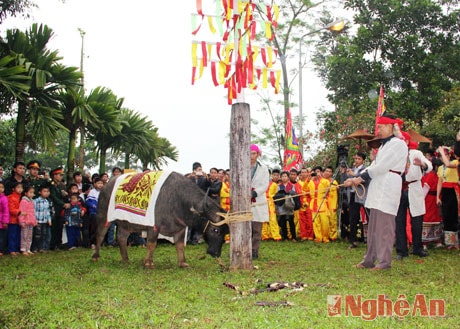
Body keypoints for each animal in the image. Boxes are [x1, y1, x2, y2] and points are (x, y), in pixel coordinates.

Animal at [92, 170, 229, 268]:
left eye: (226, 232)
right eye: (216, 230)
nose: (215, 253)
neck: (178, 200)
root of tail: (106, 186)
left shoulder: (180, 228)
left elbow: (180, 245)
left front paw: (183, 262)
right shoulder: (153, 226)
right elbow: (152, 243)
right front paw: (148, 262)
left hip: (126, 223)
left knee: (122, 237)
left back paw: (125, 259)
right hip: (103, 215)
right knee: (100, 234)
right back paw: (95, 256)